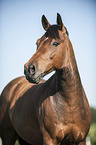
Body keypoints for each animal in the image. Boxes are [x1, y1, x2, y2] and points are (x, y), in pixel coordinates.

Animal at [0, 13, 91, 144]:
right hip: (8, 135)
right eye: (37, 42)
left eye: (55, 43)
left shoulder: (81, 140)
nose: (29, 69)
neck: (70, 103)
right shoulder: (50, 140)